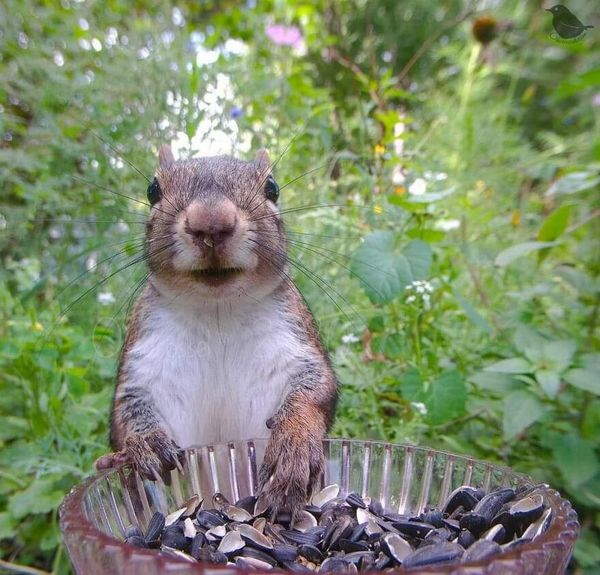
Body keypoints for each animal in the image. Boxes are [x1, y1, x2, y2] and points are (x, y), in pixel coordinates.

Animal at [94, 145, 338, 512]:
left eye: (272, 188)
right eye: (153, 190)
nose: (210, 222)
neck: (217, 309)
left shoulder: (295, 340)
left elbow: (315, 391)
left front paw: (293, 442)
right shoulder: (145, 358)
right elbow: (128, 408)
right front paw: (145, 441)